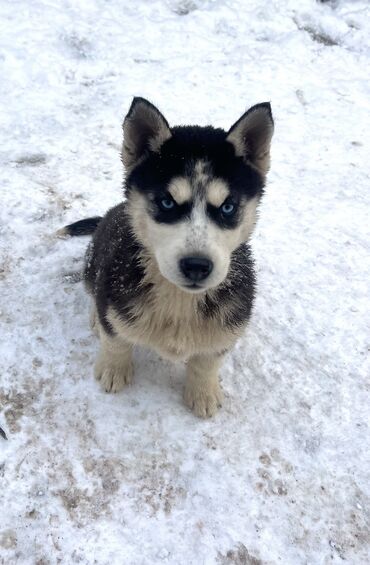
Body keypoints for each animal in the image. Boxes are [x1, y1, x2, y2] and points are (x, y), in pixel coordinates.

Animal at [60, 96, 274, 414]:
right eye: (167, 202)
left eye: (228, 207)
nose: (197, 266)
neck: (180, 298)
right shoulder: (115, 293)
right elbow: (115, 338)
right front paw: (113, 369)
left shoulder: (230, 320)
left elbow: (208, 359)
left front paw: (203, 392)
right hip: (94, 263)